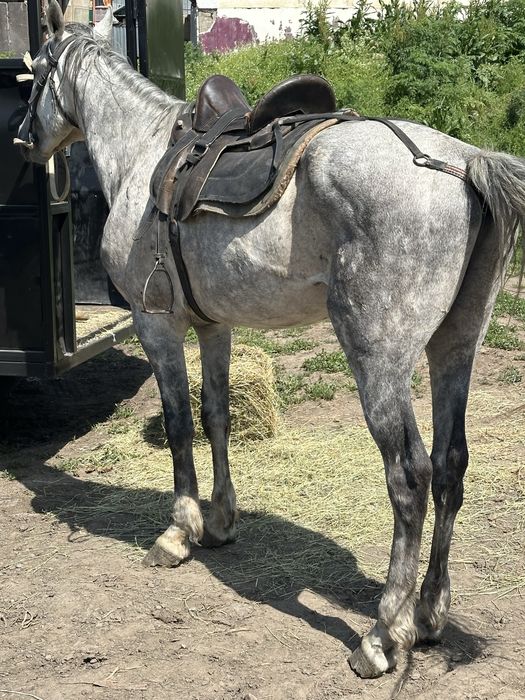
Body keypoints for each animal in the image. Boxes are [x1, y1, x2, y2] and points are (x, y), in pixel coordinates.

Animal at [16, 0, 525, 679]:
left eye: (36, 75)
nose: (24, 138)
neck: (141, 151)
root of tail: (463, 163)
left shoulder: (158, 327)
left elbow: (177, 424)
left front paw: (178, 532)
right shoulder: (214, 327)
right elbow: (217, 416)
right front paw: (221, 521)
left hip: (379, 360)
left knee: (410, 479)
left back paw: (383, 633)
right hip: (455, 348)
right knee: (449, 467)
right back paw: (429, 614)